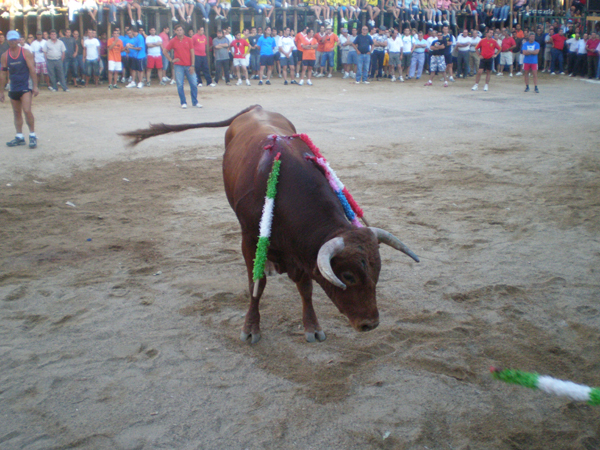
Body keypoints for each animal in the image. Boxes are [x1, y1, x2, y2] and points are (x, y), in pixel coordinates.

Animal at [123, 105, 418, 344]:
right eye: (348, 276)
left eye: (377, 270)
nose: (371, 324)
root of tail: (256, 108)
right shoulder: (249, 238)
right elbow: (257, 284)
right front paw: (251, 328)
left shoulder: (302, 254)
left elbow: (306, 288)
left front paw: (312, 327)